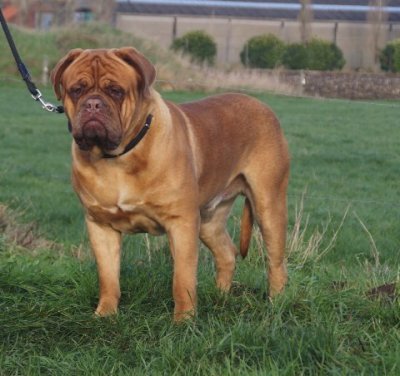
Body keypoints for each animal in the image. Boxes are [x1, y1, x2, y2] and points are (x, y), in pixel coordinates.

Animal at [51, 47, 290, 320]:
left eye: (116, 91)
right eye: (76, 90)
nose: (93, 103)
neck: (117, 158)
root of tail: (263, 106)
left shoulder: (182, 222)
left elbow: (182, 279)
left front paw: (184, 321)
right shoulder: (101, 225)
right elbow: (108, 277)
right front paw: (105, 314)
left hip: (268, 206)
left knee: (276, 262)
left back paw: (276, 303)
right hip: (209, 220)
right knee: (226, 253)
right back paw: (220, 296)